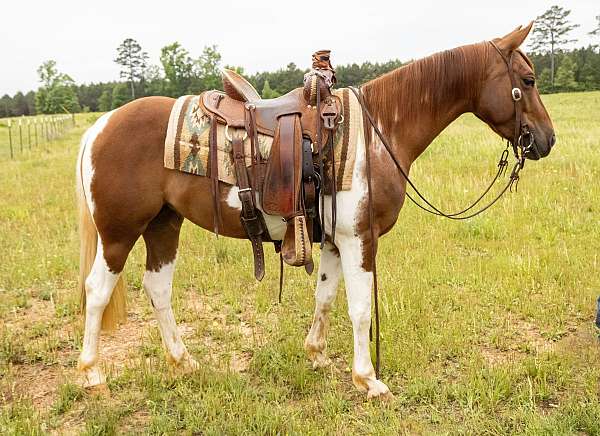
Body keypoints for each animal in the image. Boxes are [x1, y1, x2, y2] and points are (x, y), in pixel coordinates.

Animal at [76, 23, 556, 398]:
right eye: (529, 79)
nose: (547, 140)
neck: (379, 131)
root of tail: (99, 126)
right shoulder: (359, 238)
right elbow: (360, 308)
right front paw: (369, 380)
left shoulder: (331, 240)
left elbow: (325, 296)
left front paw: (318, 356)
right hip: (118, 233)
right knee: (97, 291)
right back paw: (93, 375)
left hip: (163, 224)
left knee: (158, 288)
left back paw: (184, 361)